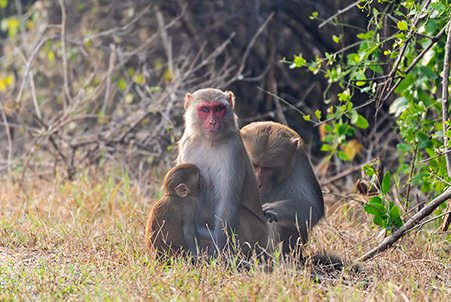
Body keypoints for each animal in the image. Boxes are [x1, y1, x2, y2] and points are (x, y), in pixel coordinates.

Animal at [177, 87, 268, 255]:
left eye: (219, 109)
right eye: (205, 109)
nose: (213, 122)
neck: (208, 141)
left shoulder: (233, 149)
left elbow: (227, 202)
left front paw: (216, 254)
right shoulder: (187, 145)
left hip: (259, 235)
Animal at [240, 120, 324, 255]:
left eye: (269, 168)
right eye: (254, 165)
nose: (258, 183)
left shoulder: (299, 164)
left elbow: (313, 208)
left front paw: (273, 209)